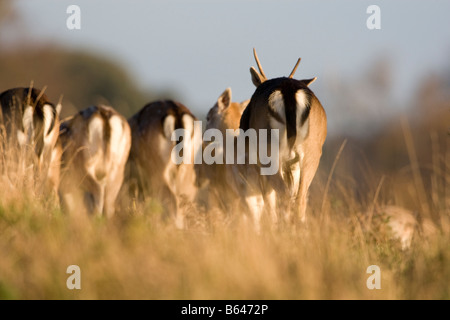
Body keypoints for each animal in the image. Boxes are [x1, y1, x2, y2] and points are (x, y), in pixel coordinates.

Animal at [239, 48, 326, 226]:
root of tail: (288, 90)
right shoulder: (293, 166)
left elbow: (268, 201)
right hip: (310, 156)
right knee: (299, 199)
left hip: (271, 157)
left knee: (284, 196)